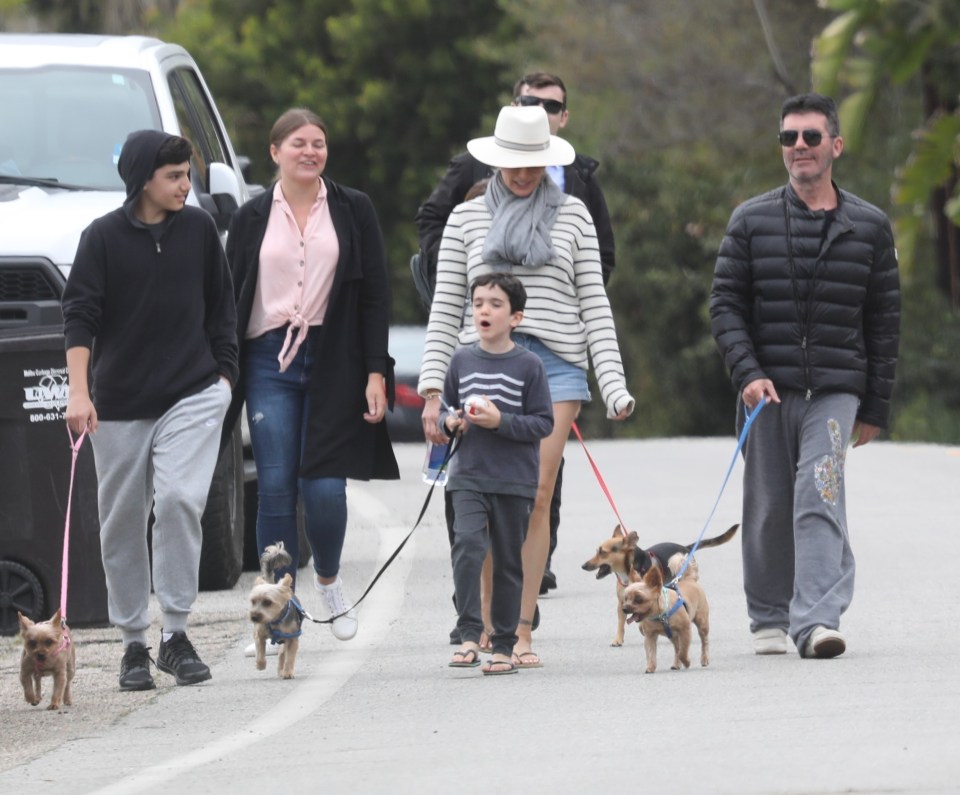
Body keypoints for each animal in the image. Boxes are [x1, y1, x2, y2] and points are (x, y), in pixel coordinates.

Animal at [248, 544, 304, 680]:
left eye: (268, 602)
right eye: (253, 601)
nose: (254, 617)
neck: (275, 621)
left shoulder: (292, 639)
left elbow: (290, 658)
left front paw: (288, 672)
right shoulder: (259, 635)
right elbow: (260, 652)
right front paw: (260, 664)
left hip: (285, 641)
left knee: (282, 654)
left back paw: (282, 670)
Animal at [580, 524, 732, 648]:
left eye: (603, 552)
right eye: (597, 551)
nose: (583, 566)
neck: (628, 572)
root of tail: (686, 548)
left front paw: (642, 627)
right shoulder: (622, 601)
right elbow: (621, 623)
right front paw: (617, 639)